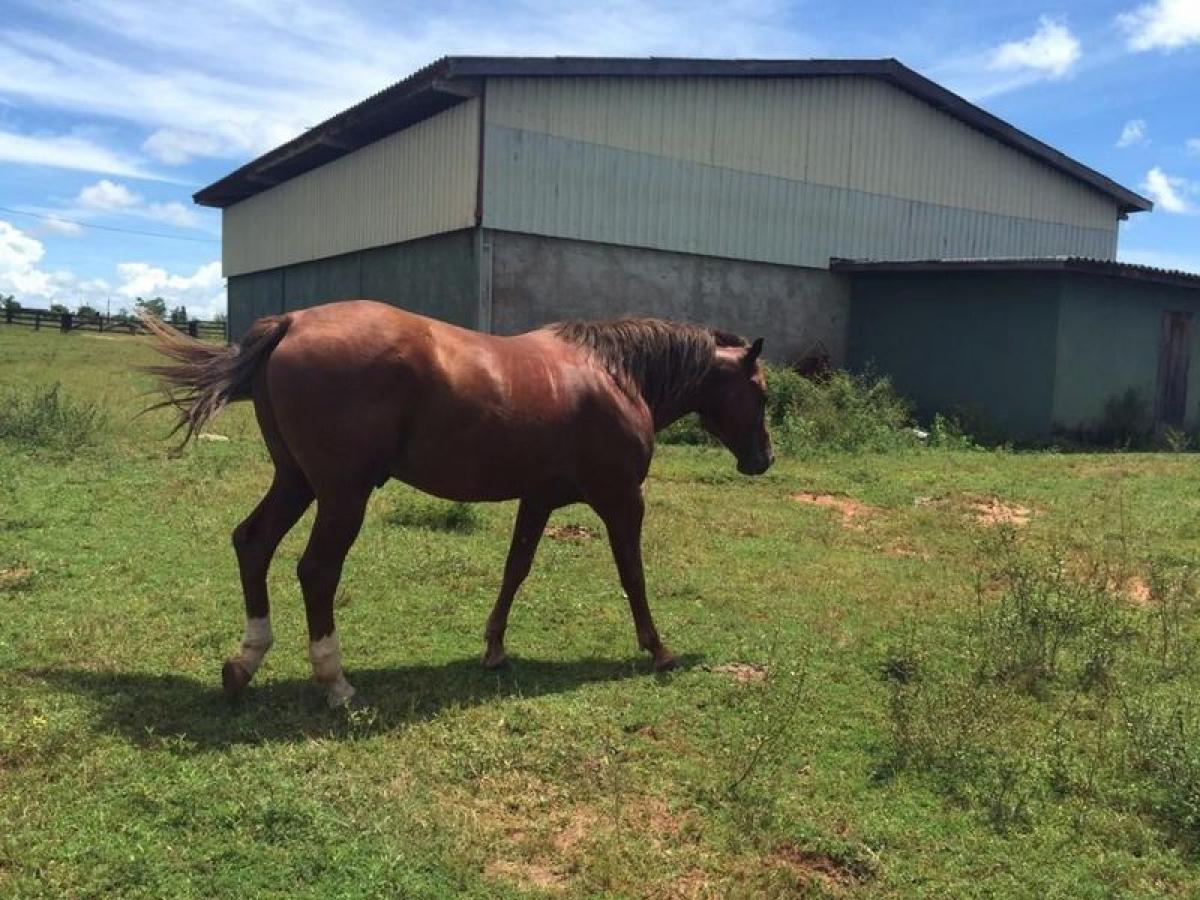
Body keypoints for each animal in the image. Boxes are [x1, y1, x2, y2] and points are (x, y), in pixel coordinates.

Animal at [145, 300, 772, 710]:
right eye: (762, 392)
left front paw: (494, 649)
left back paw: (244, 663)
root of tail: (292, 322)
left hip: (296, 481)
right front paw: (658, 649)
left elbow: (515, 570)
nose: (762, 459)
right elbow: (633, 575)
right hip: (341, 494)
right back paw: (335, 682)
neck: (613, 374)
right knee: (317, 570)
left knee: (252, 543)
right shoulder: (621, 499)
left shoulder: (537, 499)